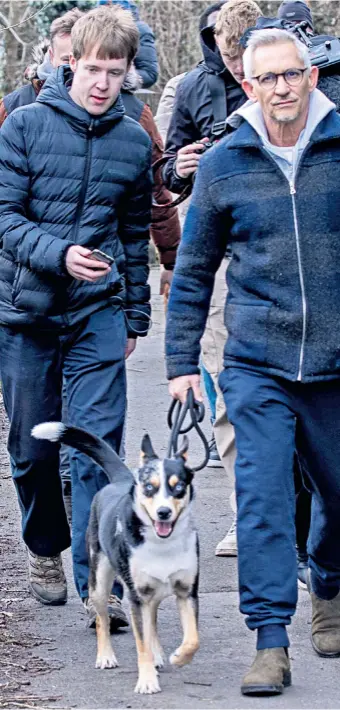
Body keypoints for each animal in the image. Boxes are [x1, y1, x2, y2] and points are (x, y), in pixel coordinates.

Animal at [31, 422, 199, 696]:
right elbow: (141, 643)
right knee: (102, 620)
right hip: (100, 582)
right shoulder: (136, 597)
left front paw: (179, 657)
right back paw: (106, 656)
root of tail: (121, 480)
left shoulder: (187, 591)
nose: (164, 512)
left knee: (151, 622)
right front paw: (147, 681)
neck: (161, 544)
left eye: (178, 487)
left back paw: (158, 655)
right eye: (149, 487)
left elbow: (193, 638)